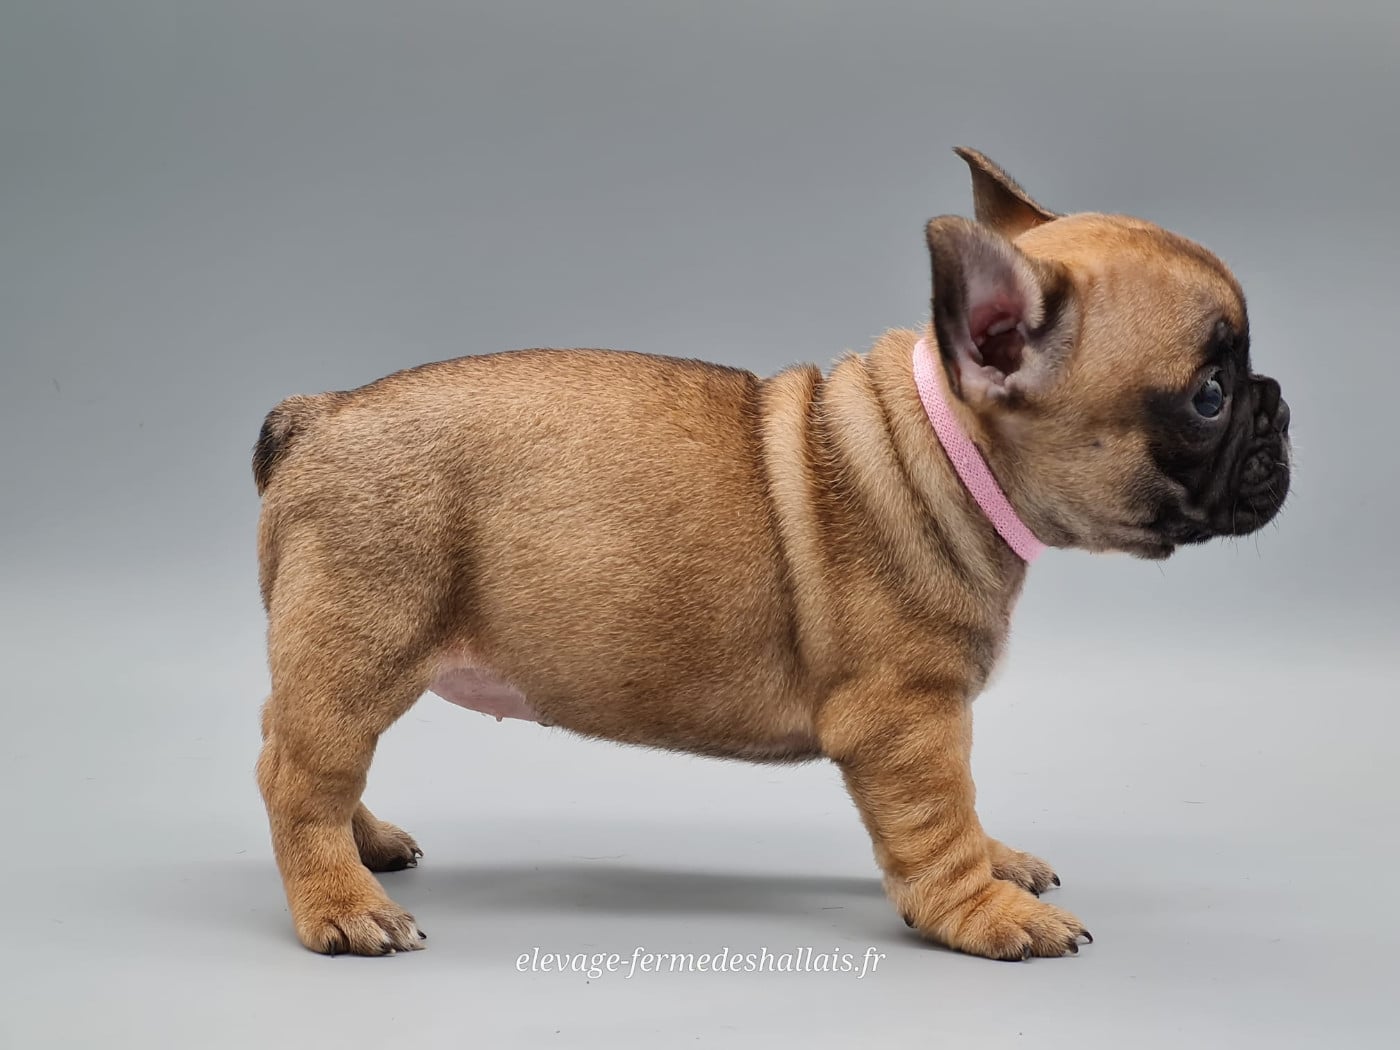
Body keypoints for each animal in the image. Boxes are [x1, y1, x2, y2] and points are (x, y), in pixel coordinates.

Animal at [251, 148, 1290, 960]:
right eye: (1208, 394)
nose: (1277, 403)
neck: (942, 447)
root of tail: (319, 414)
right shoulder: (909, 718)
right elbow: (939, 818)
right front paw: (984, 911)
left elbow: (966, 807)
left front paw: (997, 863)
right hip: (361, 643)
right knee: (299, 775)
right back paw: (341, 905)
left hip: (333, 654)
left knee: (294, 747)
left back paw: (366, 846)